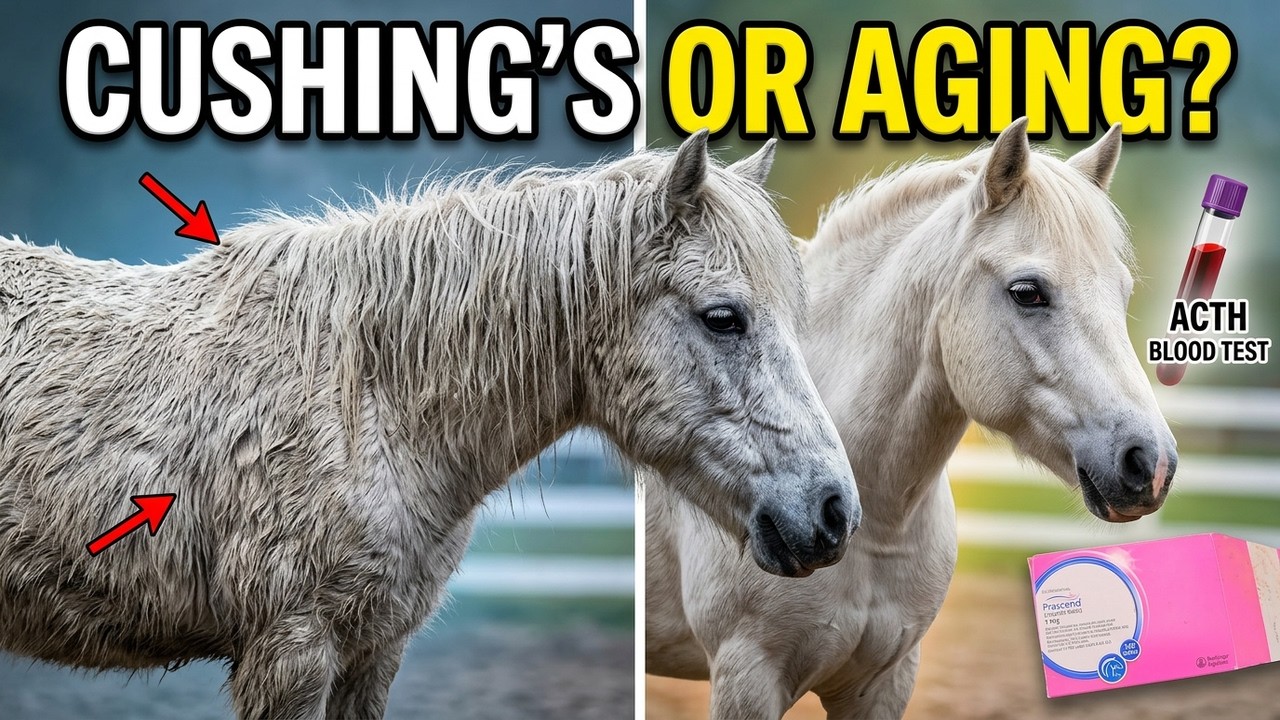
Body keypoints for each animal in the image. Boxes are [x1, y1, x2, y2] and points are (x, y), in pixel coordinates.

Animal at [646, 119, 1178, 719]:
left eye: (1122, 292)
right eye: (1027, 292)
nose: (1150, 463)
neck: (874, 526)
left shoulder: (885, 681)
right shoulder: (747, 677)